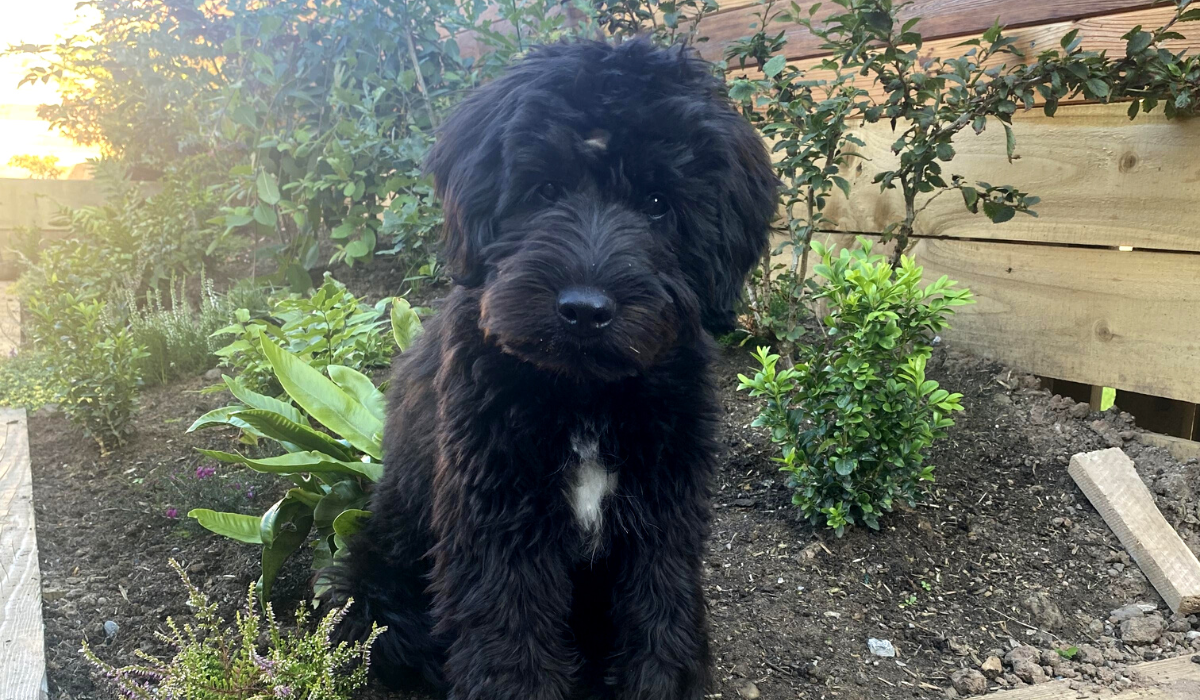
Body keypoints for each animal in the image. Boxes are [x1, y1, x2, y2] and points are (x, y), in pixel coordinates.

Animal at [328, 39, 777, 700]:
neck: (584, 396)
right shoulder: (499, 519)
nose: (584, 311)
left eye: (657, 203)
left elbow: (659, 607)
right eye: (543, 189)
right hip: (376, 580)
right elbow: (509, 635)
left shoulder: (663, 511)